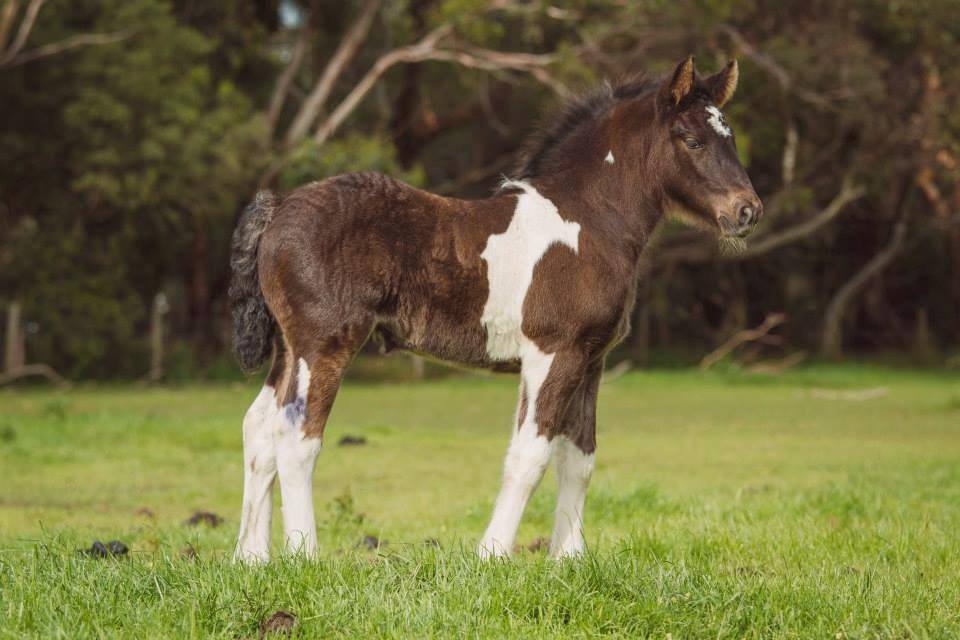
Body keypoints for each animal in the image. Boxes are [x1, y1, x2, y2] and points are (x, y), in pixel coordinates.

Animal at [229, 57, 760, 564]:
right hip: (325, 345)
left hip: (289, 348)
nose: (747, 211)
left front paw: (569, 559)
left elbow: (579, 458)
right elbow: (529, 454)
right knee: (296, 436)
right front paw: (493, 554)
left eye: (730, 136)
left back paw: (251, 559)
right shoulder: (553, 352)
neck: (586, 221)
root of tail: (277, 209)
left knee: (258, 428)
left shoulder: (591, 359)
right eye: (692, 139)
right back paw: (303, 555)